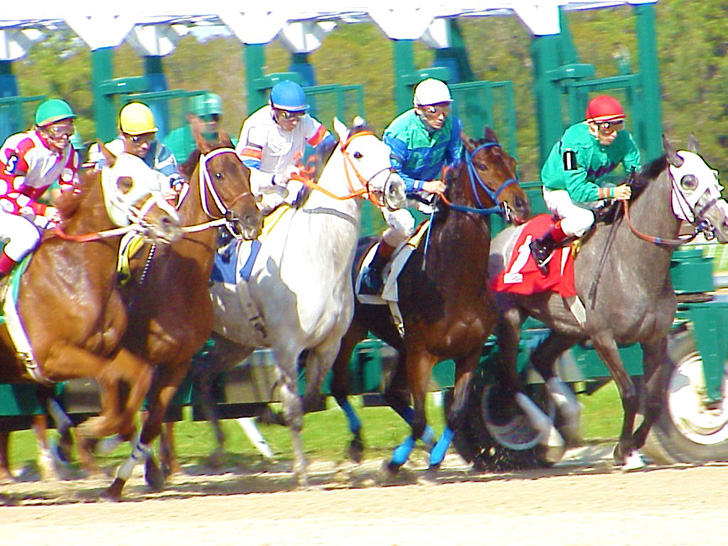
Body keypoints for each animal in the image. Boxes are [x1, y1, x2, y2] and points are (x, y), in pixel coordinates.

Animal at [0, 144, 182, 442]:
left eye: (157, 179)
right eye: (125, 182)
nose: (171, 223)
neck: (76, 273)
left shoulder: (107, 348)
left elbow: (141, 375)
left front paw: (117, 427)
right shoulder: (50, 356)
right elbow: (108, 376)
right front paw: (96, 427)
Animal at [195, 119, 404, 484]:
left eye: (387, 151)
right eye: (358, 154)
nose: (395, 188)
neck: (316, 254)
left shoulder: (328, 345)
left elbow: (308, 399)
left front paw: (271, 415)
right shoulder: (286, 346)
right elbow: (294, 405)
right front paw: (302, 472)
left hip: (234, 341)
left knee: (203, 376)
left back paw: (218, 450)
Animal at [330, 127, 528, 480]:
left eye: (511, 162)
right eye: (483, 165)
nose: (520, 204)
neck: (454, 281)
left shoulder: (468, 352)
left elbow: (456, 413)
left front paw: (434, 459)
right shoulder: (421, 353)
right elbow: (421, 414)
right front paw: (394, 462)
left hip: (398, 344)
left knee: (390, 393)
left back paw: (429, 441)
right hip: (350, 335)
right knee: (339, 386)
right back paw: (357, 443)